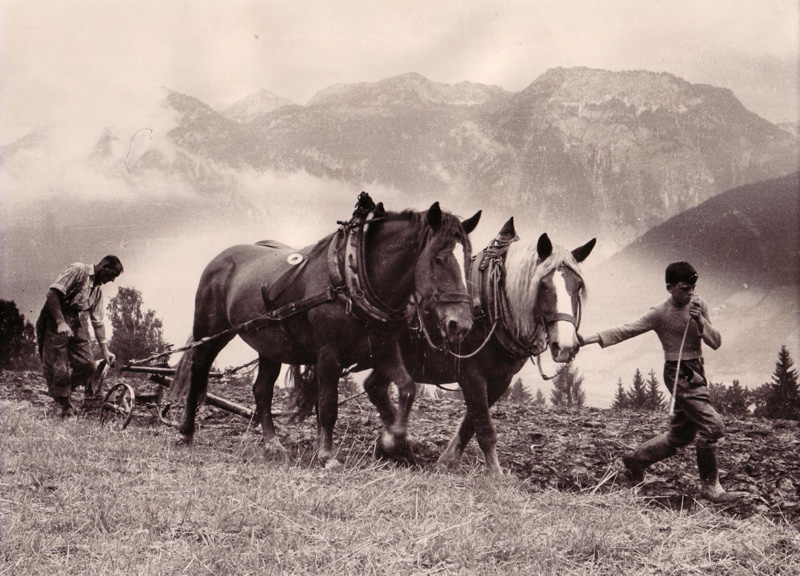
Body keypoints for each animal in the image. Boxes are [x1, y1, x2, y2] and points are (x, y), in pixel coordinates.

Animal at [171, 195, 478, 468]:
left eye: (468, 261)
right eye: (439, 259)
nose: (461, 325)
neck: (352, 275)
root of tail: (220, 259)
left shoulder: (383, 350)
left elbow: (407, 388)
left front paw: (394, 439)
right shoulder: (329, 352)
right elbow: (329, 405)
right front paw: (328, 456)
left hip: (271, 344)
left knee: (262, 391)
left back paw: (272, 444)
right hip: (211, 332)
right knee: (198, 372)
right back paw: (186, 432)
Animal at [366, 218, 596, 474]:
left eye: (578, 286)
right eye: (543, 285)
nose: (564, 346)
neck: (490, 303)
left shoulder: (501, 379)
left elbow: (471, 422)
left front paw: (447, 461)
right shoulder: (471, 374)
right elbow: (484, 428)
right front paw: (496, 474)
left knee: (375, 388)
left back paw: (393, 447)